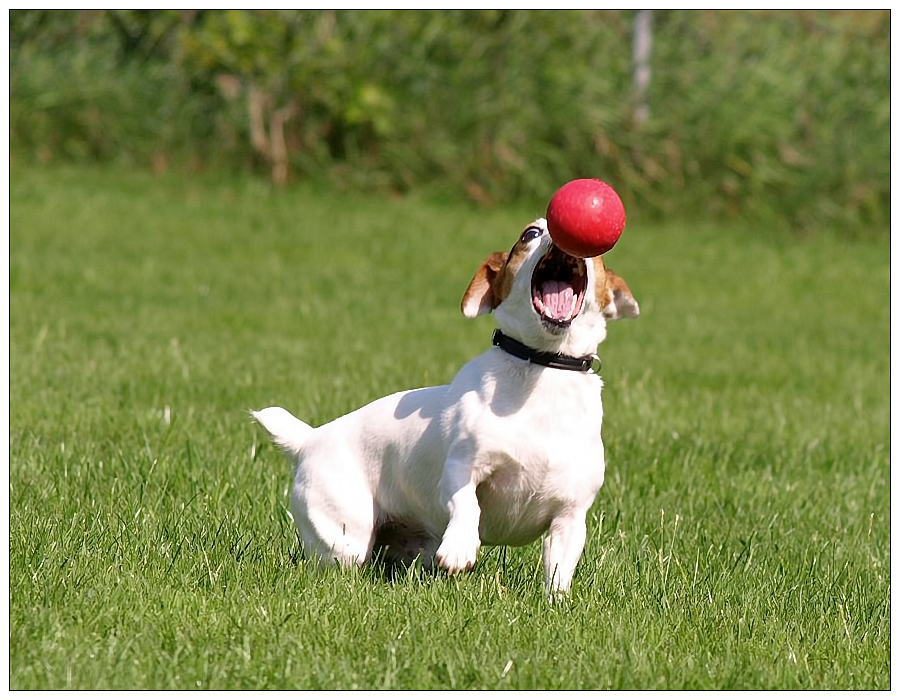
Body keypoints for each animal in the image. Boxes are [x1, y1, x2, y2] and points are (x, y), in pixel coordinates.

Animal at [250, 217, 636, 592]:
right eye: (530, 233)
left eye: (598, 253)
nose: (560, 233)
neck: (543, 368)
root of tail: (308, 440)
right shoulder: (462, 467)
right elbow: (466, 504)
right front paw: (460, 548)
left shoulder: (571, 515)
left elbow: (559, 570)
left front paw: (555, 601)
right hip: (345, 534)